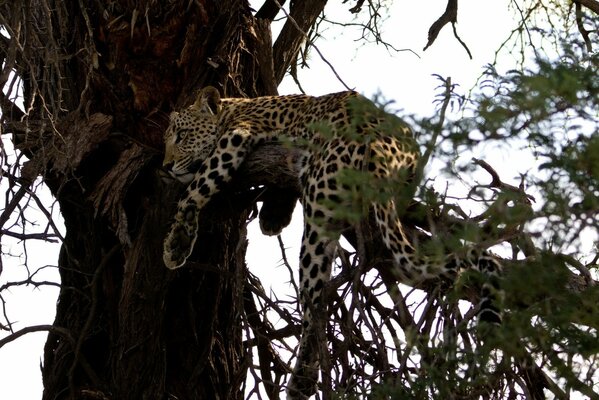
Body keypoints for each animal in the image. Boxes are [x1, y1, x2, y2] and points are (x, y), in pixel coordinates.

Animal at [162, 86, 504, 396]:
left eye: (181, 135)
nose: (165, 167)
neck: (234, 107)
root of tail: (381, 144)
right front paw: (273, 217)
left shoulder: (238, 134)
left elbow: (197, 187)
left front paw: (177, 243)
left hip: (319, 211)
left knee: (315, 303)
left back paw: (302, 379)